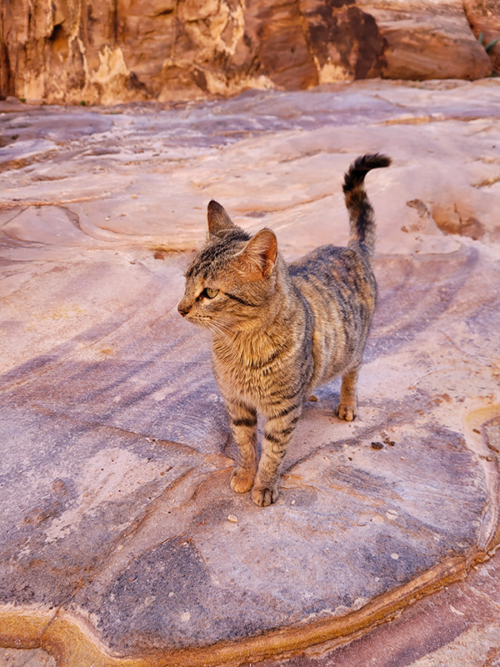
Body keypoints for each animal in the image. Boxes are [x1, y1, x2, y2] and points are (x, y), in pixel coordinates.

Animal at [178, 155, 392, 506]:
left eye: (209, 293)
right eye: (186, 281)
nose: (180, 308)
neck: (241, 343)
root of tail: (351, 250)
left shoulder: (282, 411)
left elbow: (273, 452)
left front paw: (264, 485)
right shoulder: (236, 402)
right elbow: (245, 445)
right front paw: (244, 475)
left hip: (354, 347)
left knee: (352, 373)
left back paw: (347, 404)